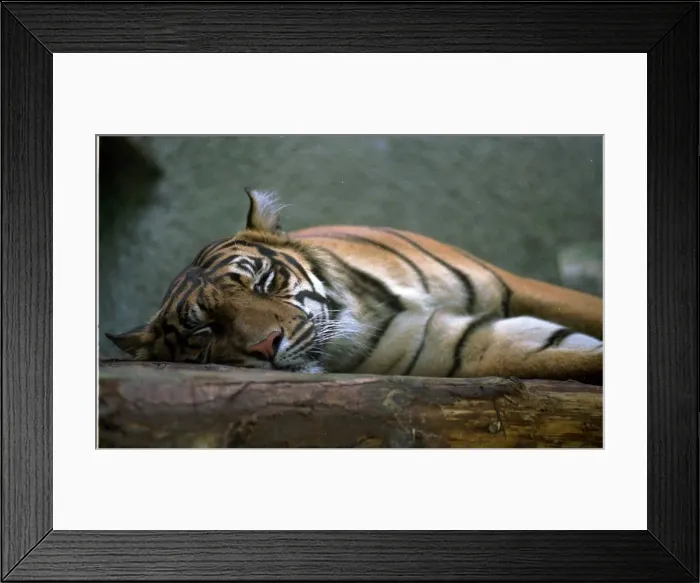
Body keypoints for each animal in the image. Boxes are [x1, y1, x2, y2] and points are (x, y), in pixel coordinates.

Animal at [106, 188, 603, 384]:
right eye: (203, 331)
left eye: (264, 282)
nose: (267, 346)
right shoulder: (467, 346)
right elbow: (577, 358)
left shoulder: (514, 286)